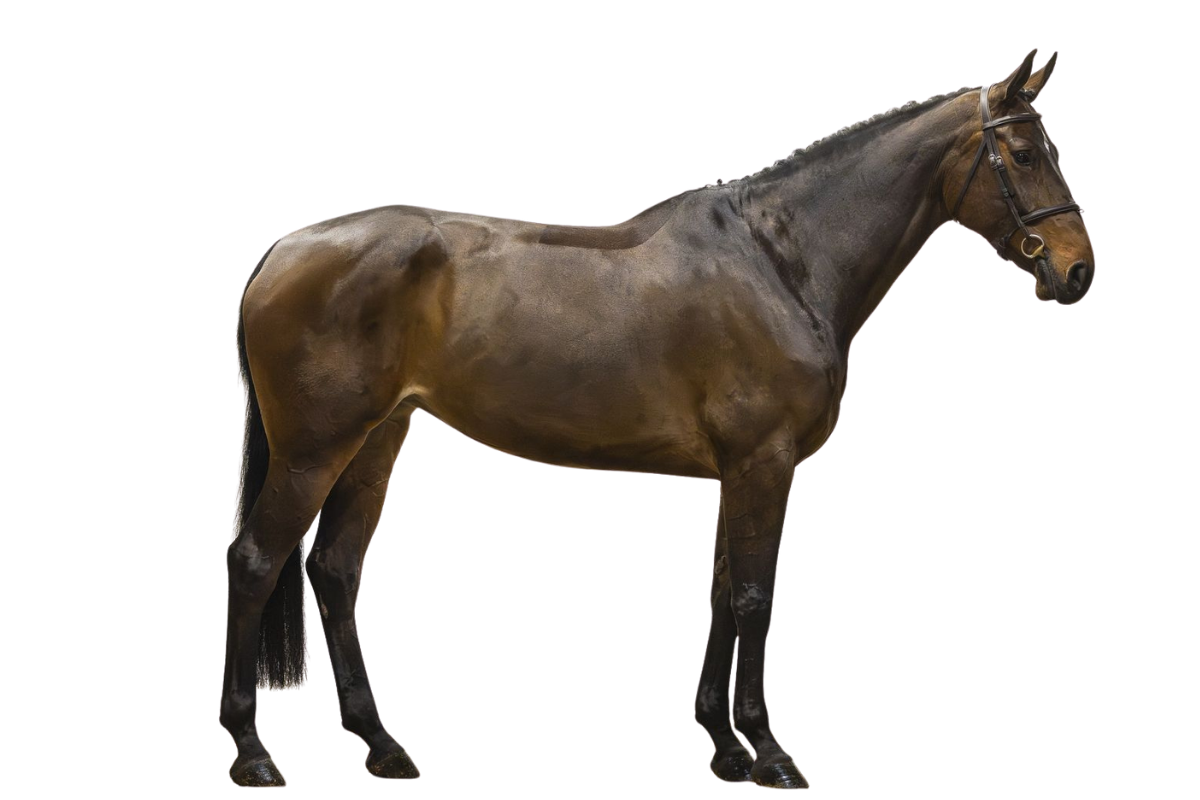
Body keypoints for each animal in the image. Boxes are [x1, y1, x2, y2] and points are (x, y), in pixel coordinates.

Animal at [222, 49, 1093, 789]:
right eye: (1023, 154)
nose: (1078, 269)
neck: (780, 260)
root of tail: (281, 253)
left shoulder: (740, 468)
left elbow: (722, 591)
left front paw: (726, 748)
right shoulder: (764, 462)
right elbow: (755, 594)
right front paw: (769, 752)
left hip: (378, 439)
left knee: (335, 568)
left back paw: (383, 744)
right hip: (313, 450)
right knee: (258, 561)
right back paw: (253, 751)